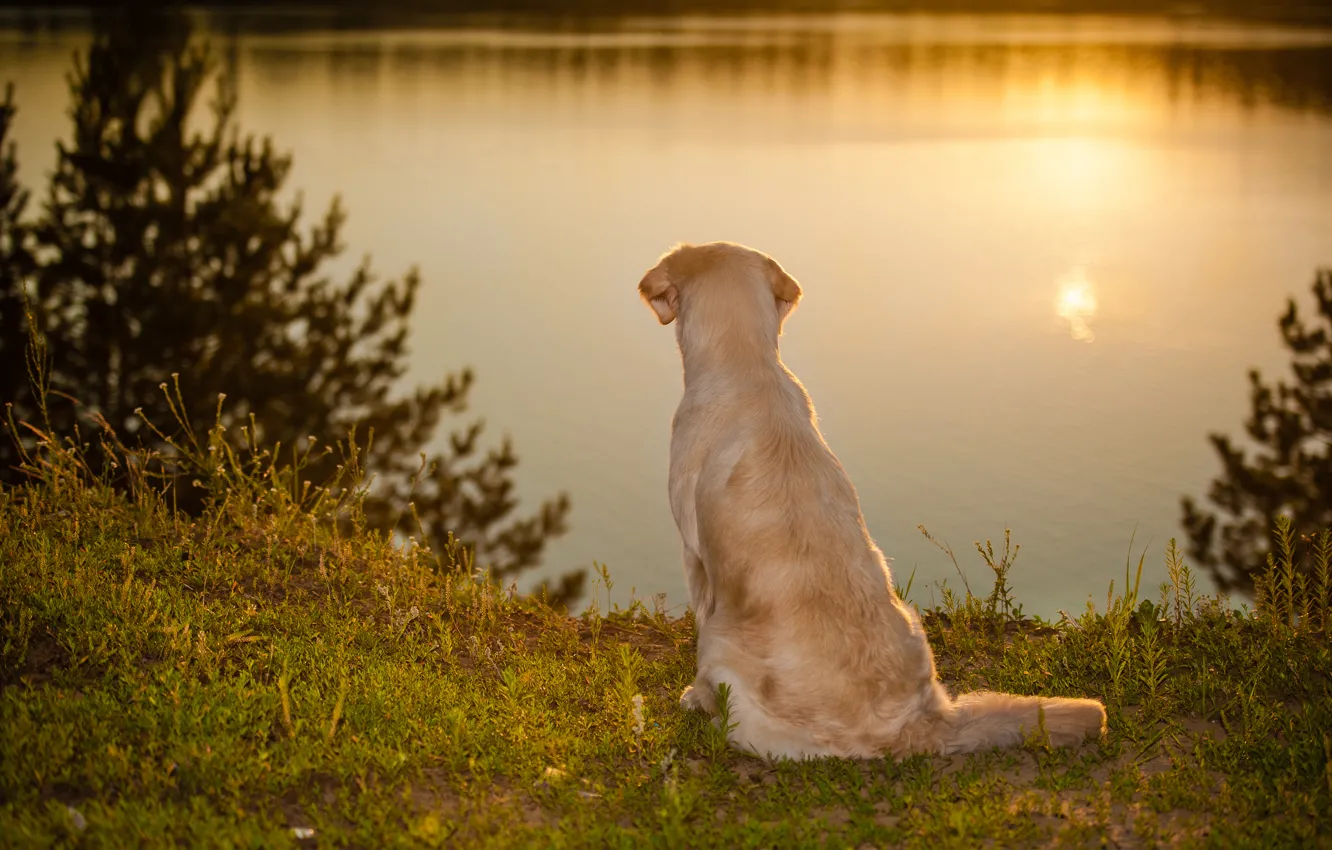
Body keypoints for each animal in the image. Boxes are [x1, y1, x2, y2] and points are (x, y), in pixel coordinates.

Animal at [634, 239, 1102, 756]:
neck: (746, 366)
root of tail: (918, 725)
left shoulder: (695, 555)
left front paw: (692, 698)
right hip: (914, 621)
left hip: (724, 651)